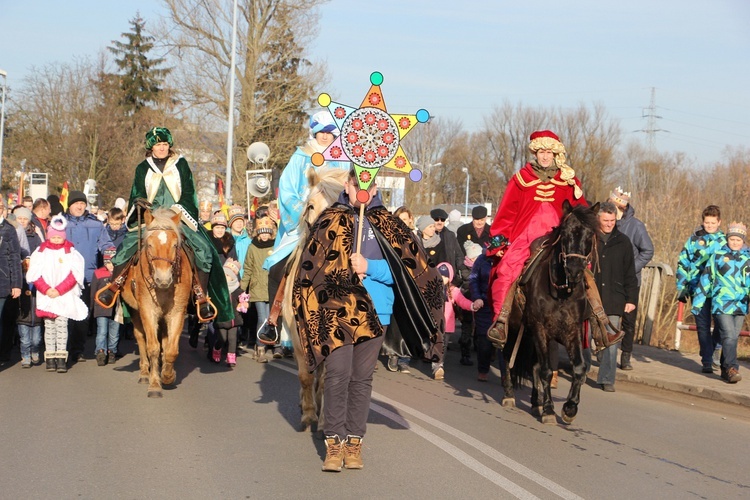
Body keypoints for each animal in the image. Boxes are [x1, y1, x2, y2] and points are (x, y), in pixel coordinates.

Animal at [122, 207, 195, 398]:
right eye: (149, 245)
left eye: (175, 245)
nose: (163, 279)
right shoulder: (148, 311)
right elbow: (153, 348)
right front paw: (155, 384)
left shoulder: (177, 313)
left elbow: (171, 350)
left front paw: (168, 376)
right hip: (136, 312)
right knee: (141, 338)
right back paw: (144, 373)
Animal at [282, 166, 352, 432]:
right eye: (310, 205)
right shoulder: (296, 333)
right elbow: (305, 376)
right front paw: (309, 415)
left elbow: (325, 379)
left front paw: (323, 420)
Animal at [502, 199, 604, 422]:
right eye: (565, 233)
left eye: (589, 234)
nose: (574, 270)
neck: (561, 292)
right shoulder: (540, 328)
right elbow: (546, 371)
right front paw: (549, 410)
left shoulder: (571, 330)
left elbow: (578, 368)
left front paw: (569, 408)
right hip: (514, 329)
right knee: (506, 355)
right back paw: (508, 394)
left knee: (533, 365)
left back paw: (535, 402)